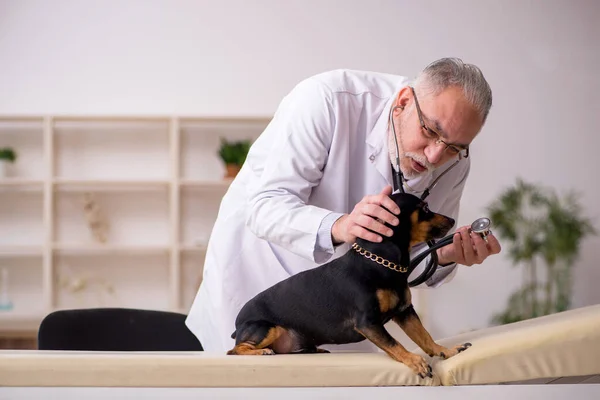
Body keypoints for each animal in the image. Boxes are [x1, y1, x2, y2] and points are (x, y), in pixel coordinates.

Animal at [227, 192, 472, 376]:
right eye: (425, 208)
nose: (452, 221)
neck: (380, 262)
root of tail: (238, 324)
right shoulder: (368, 323)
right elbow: (395, 343)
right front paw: (414, 361)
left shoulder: (405, 312)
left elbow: (425, 337)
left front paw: (446, 351)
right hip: (267, 328)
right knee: (234, 350)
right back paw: (260, 352)